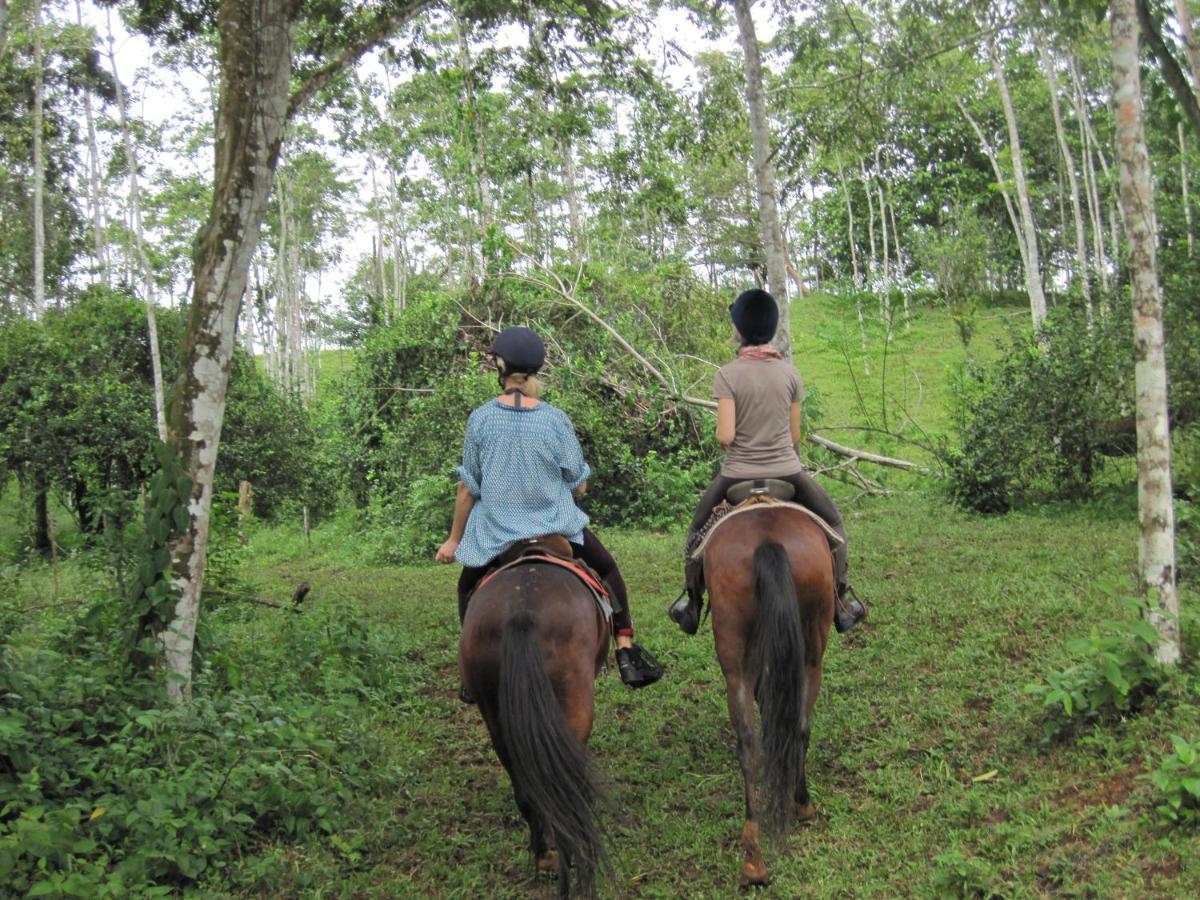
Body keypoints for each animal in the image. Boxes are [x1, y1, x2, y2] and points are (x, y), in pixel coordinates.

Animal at [700, 508, 835, 888]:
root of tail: (768, 541)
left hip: (737, 650)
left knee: (751, 741)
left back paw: (754, 858)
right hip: (810, 650)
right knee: (798, 726)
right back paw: (797, 808)